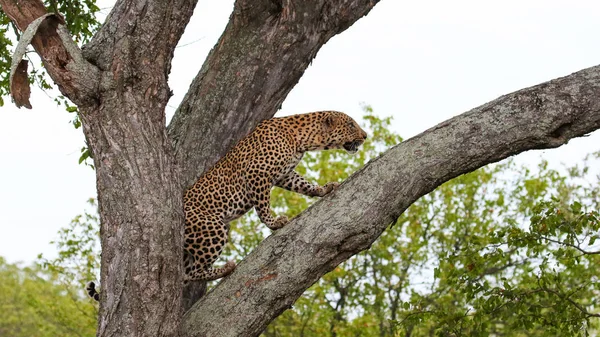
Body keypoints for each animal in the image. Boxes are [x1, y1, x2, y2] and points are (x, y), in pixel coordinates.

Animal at [84, 110, 366, 300]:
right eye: (351, 124)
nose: (365, 136)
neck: (302, 140)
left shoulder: (284, 175)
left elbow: (303, 184)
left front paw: (323, 189)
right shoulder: (257, 174)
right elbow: (263, 206)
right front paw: (275, 223)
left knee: (186, 272)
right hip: (213, 229)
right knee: (193, 271)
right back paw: (226, 269)